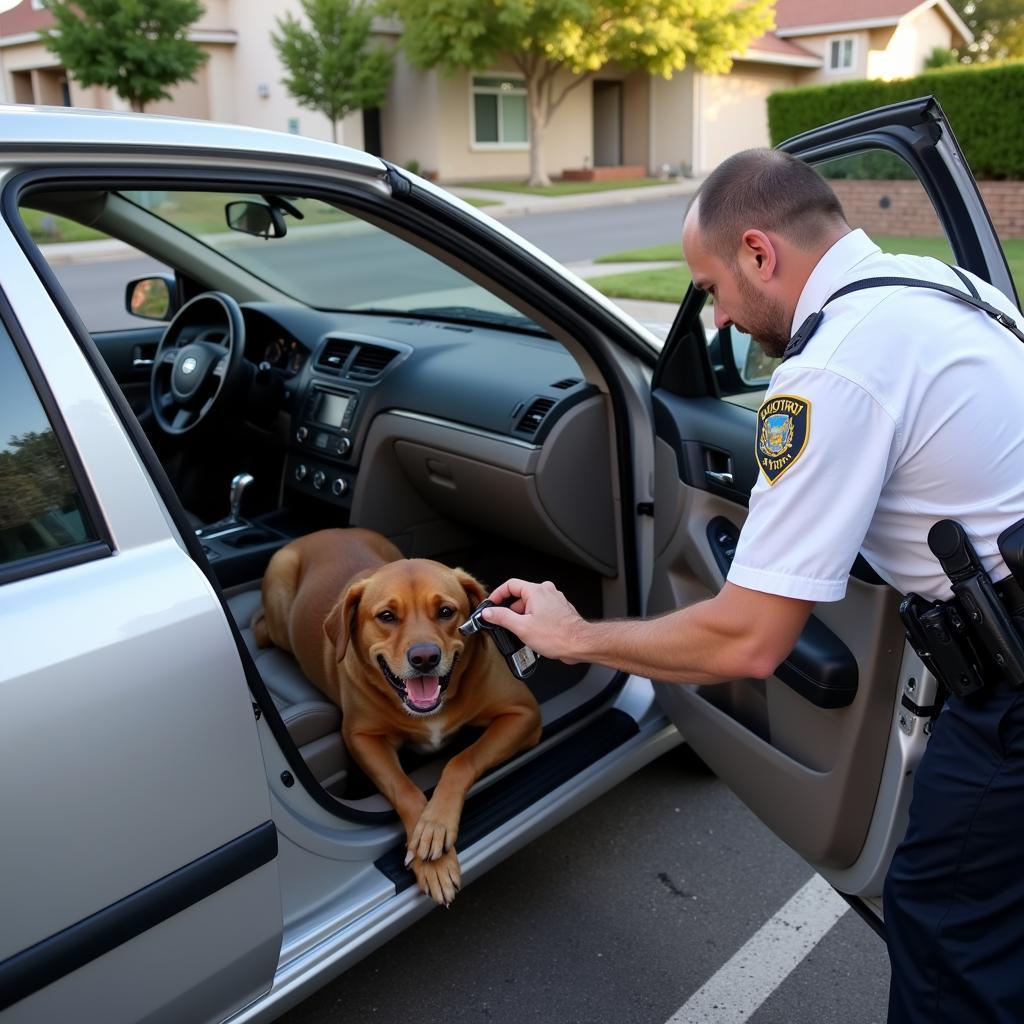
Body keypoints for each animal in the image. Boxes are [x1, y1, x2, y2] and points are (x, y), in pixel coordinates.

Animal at [252, 528, 544, 905]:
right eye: (387, 616)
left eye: (446, 611)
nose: (424, 658)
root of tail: (326, 530)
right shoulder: (362, 738)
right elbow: (403, 787)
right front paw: (430, 855)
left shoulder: (524, 714)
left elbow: (462, 760)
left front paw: (434, 825)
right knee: (262, 628)